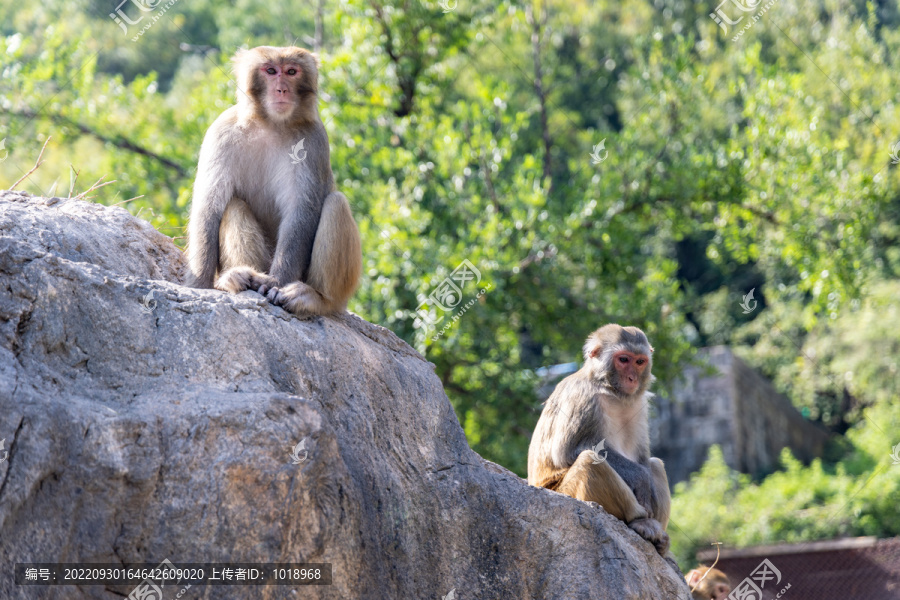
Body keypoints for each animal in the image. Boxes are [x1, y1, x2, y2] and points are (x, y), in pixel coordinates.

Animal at [185, 45, 360, 316]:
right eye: (270, 71)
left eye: (291, 72)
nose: (282, 89)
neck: (270, 124)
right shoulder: (221, 132)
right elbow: (209, 207)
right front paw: (200, 285)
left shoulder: (314, 140)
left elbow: (301, 211)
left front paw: (278, 282)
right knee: (233, 206)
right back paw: (240, 278)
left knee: (336, 204)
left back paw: (318, 299)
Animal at [524, 326, 672, 556]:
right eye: (623, 359)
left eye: (639, 362)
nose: (632, 378)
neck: (610, 389)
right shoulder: (583, 398)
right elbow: (568, 451)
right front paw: (640, 479)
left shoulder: (639, 405)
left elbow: (642, 458)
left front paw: (646, 481)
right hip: (567, 493)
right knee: (589, 461)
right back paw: (640, 521)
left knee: (655, 464)